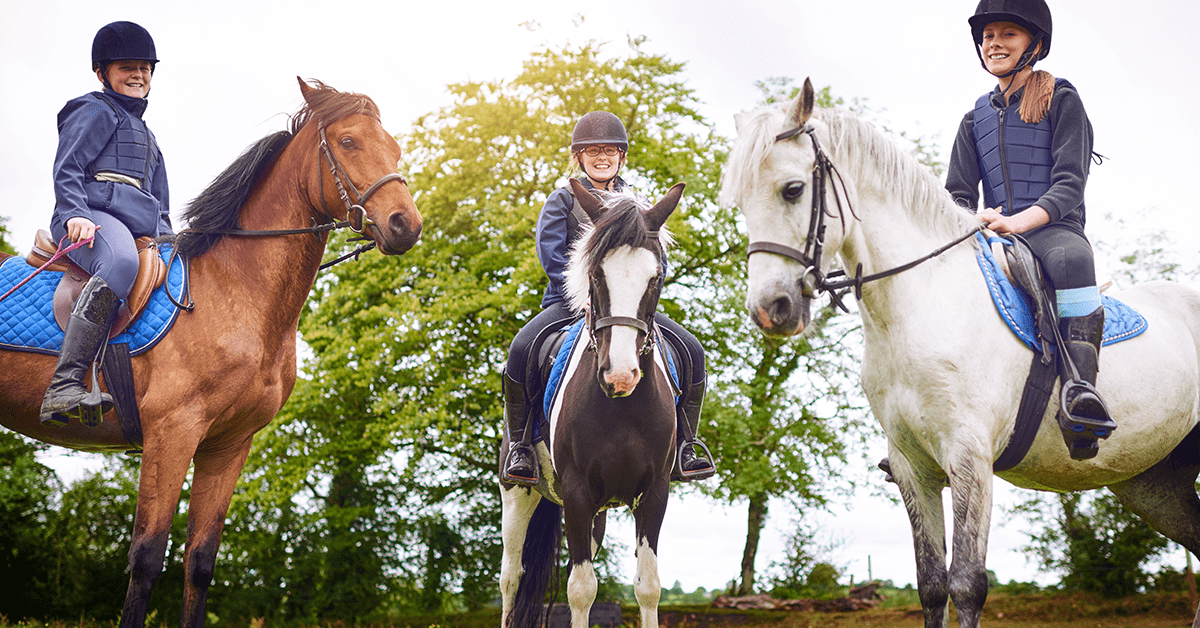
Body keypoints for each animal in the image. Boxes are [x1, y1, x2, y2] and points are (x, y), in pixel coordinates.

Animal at [0, 78, 421, 628]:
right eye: (348, 142)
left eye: (393, 147)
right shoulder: (172, 434)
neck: (234, 287)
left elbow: (199, 562)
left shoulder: (228, 446)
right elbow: (146, 558)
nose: (405, 224)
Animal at [720, 79, 1200, 628]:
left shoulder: (969, 457)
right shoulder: (912, 466)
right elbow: (931, 584)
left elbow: (966, 583)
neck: (918, 305)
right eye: (741, 203)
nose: (769, 309)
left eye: (793, 189)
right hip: (1154, 483)